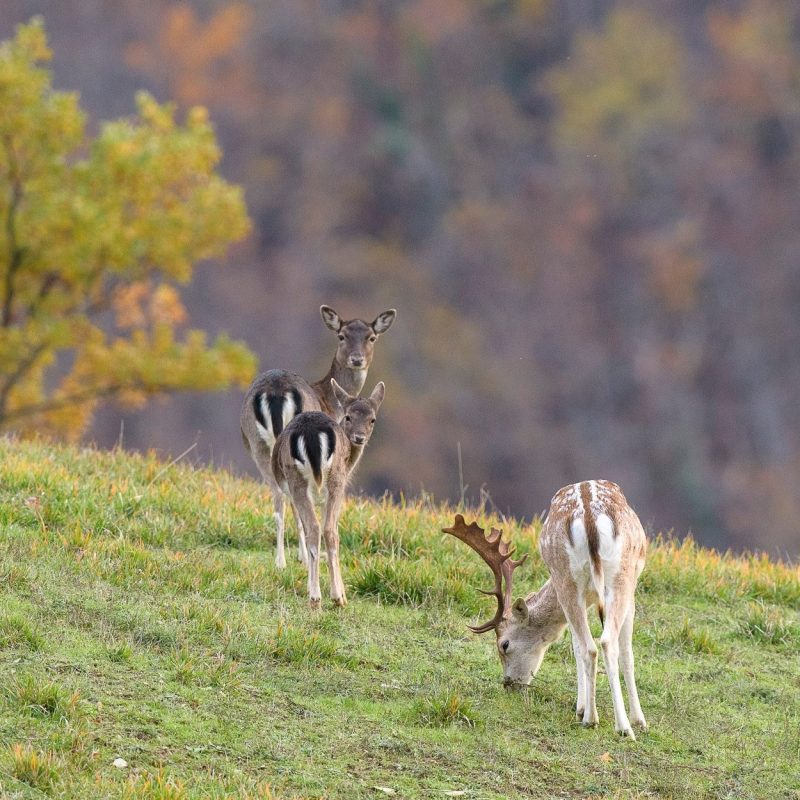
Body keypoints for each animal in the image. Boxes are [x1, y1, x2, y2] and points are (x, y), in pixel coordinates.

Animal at [241, 302, 396, 568]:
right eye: (341, 335)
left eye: (371, 337)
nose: (357, 359)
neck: (330, 401)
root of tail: (275, 391)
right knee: (292, 502)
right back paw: (299, 557)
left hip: (256, 443)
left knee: (278, 497)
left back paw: (280, 560)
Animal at [270, 382, 386, 608]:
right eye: (348, 416)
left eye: (372, 419)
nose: (359, 438)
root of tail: (310, 434)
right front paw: (338, 591)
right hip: (333, 482)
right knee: (329, 530)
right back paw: (334, 597)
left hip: (298, 482)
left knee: (315, 528)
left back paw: (316, 595)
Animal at [444, 478, 648, 740]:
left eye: (504, 644)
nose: (508, 684)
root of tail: (589, 519)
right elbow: (620, 652)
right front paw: (636, 719)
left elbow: (583, 646)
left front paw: (587, 709)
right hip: (617, 576)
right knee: (601, 643)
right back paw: (616, 725)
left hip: (570, 578)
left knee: (592, 646)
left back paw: (598, 720)